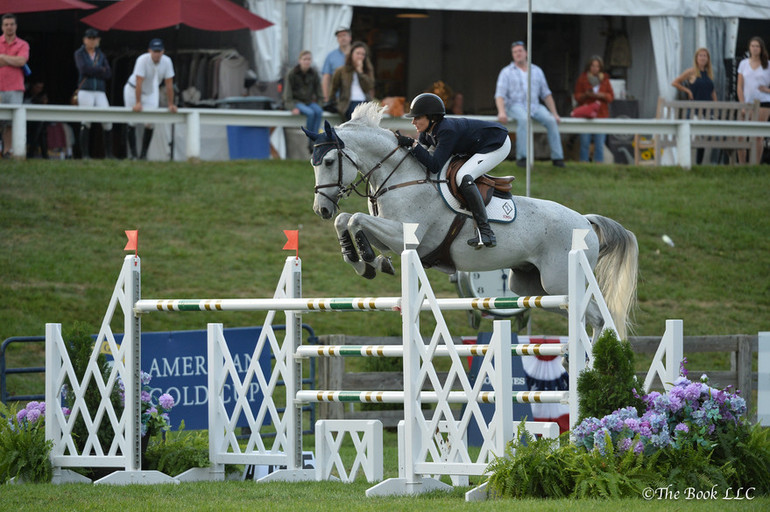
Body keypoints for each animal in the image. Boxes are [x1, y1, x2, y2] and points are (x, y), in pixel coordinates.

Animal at [306, 102, 636, 340]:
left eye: (329, 162)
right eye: (314, 163)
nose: (321, 209)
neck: (401, 177)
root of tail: (585, 222)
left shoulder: (404, 235)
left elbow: (354, 219)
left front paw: (368, 262)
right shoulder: (390, 237)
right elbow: (347, 221)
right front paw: (367, 262)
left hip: (559, 280)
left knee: (598, 317)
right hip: (533, 286)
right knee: (577, 312)